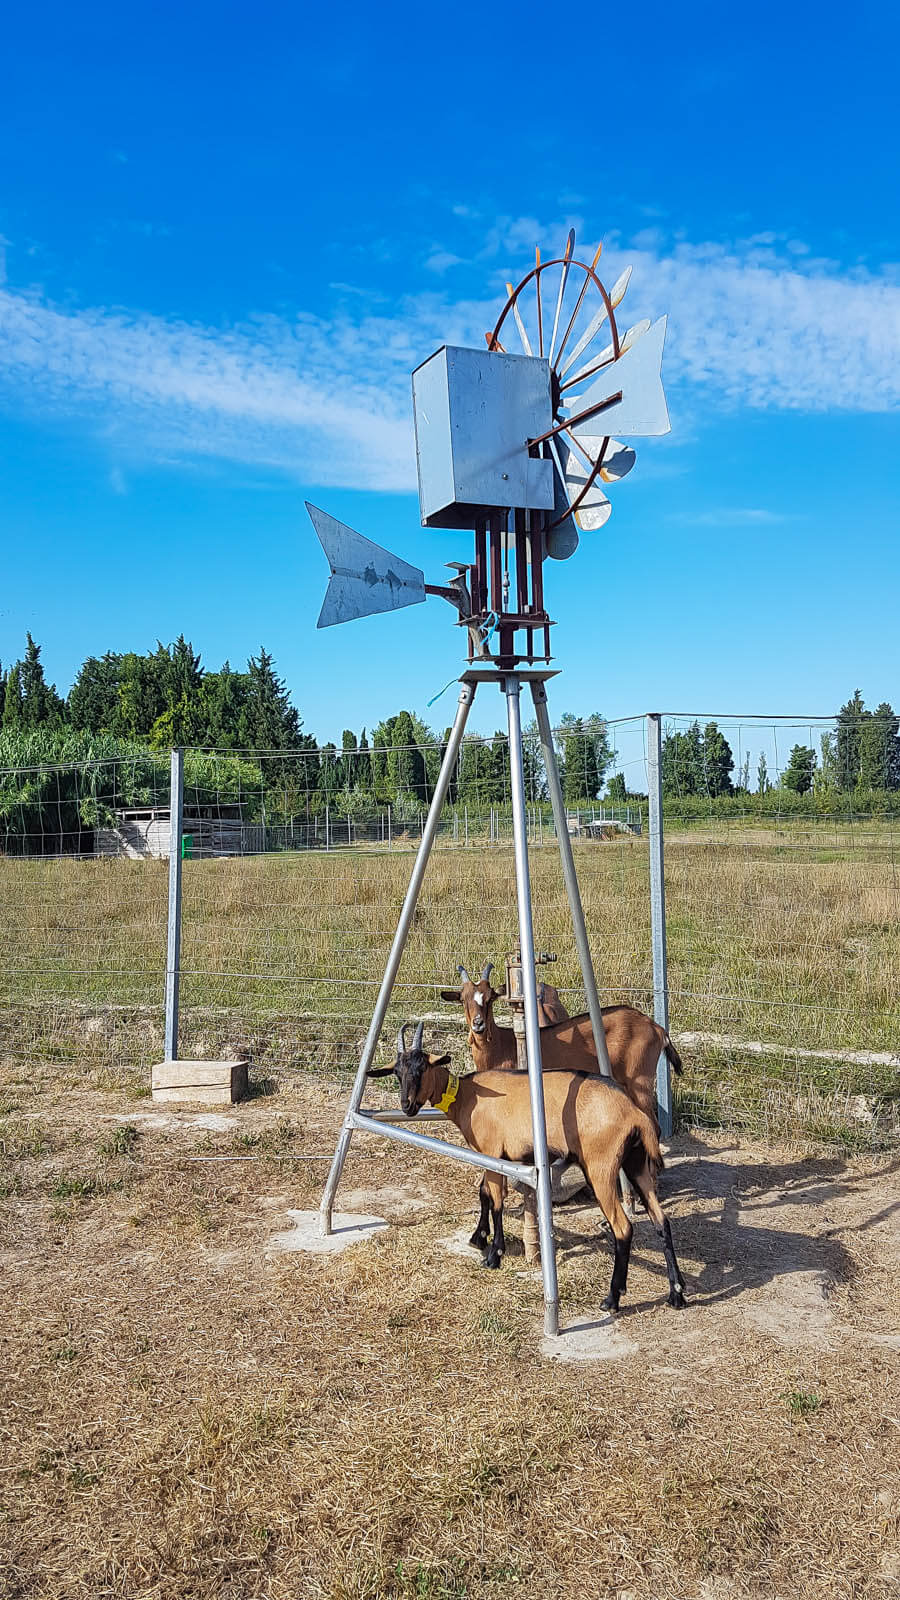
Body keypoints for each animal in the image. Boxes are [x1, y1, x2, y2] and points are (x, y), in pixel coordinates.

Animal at [368, 1024, 682, 1312]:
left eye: (422, 1068)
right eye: (397, 1072)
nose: (407, 1105)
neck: (469, 1095)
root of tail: (634, 1114)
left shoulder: (493, 1152)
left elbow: (496, 1201)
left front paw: (494, 1255)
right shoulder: (493, 1156)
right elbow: (484, 1193)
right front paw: (478, 1237)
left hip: (600, 1167)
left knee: (623, 1228)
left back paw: (612, 1299)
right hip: (636, 1163)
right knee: (661, 1221)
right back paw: (677, 1294)